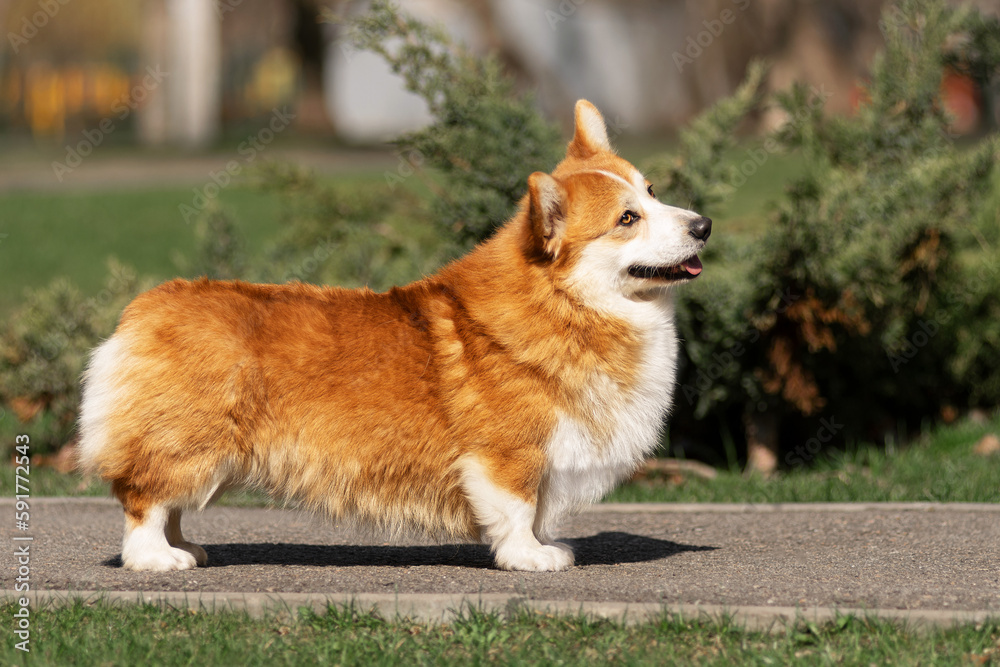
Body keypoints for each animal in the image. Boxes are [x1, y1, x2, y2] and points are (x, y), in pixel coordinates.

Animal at [78, 100, 712, 576]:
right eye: (627, 219)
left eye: (652, 191)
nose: (704, 226)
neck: (566, 302)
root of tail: (141, 308)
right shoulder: (509, 453)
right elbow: (518, 508)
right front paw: (532, 557)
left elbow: (529, 511)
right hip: (189, 441)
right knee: (145, 501)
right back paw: (158, 559)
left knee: (170, 506)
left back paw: (186, 547)